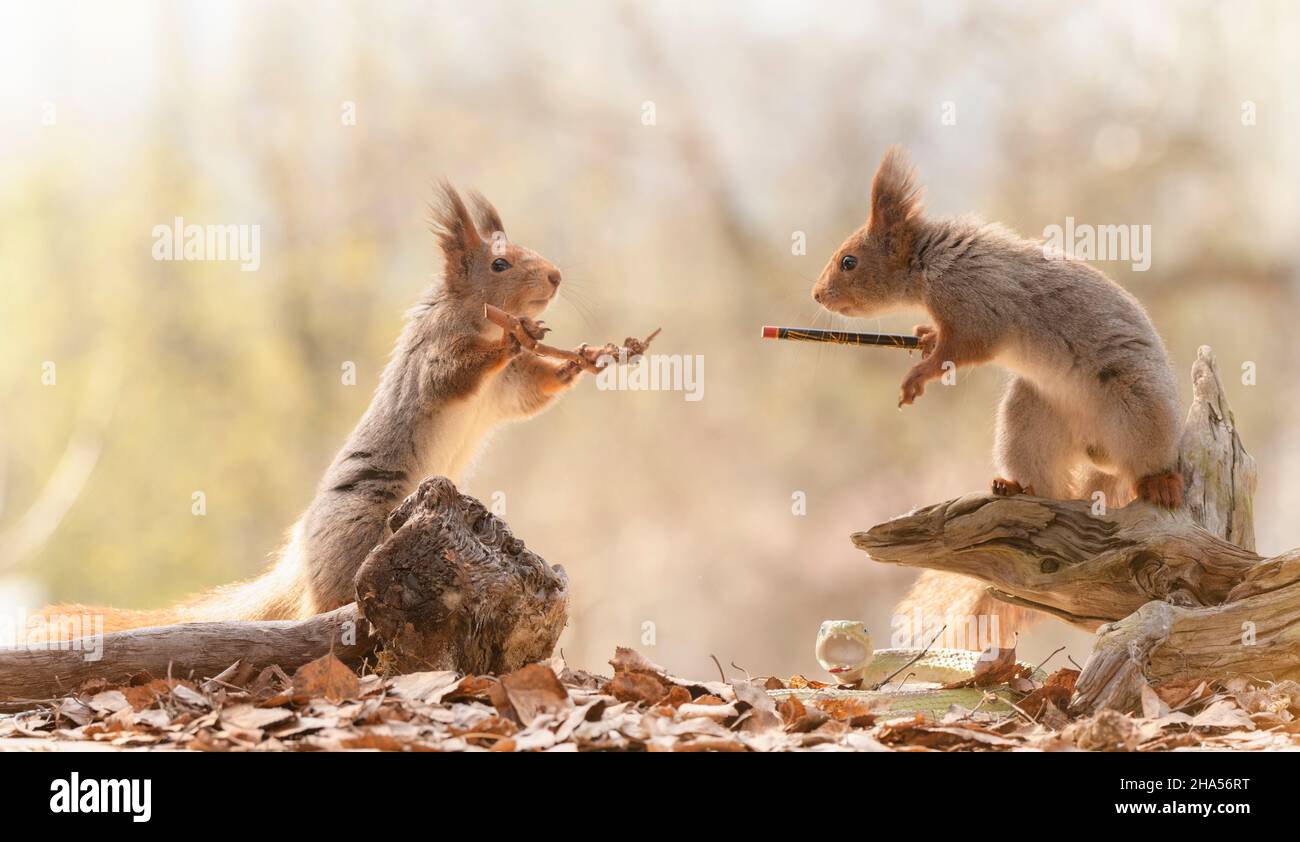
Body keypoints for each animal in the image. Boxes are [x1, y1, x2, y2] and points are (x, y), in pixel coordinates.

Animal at [34, 180, 585, 634]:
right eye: (500, 265)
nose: (557, 276)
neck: (479, 317)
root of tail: (297, 565)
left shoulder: (505, 390)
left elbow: (528, 396)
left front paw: (579, 362)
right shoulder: (433, 353)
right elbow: (452, 375)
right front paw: (514, 339)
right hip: (361, 533)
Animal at [811, 148, 1190, 641]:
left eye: (849, 261)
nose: (817, 295)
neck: (929, 261)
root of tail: (1097, 453)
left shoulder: (975, 303)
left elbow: (966, 348)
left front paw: (920, 373)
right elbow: (947, 343)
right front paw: (925, 337)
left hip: (1139, 405)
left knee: (1146, 461)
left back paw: (1159, 482)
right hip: (1030, 417)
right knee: (1049, 487)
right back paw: (1015, 486)